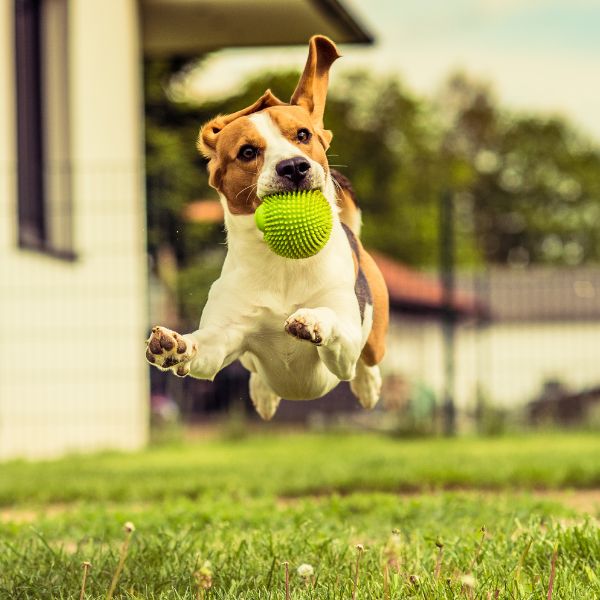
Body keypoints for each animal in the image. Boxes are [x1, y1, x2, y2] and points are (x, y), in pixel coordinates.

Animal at [145, 35, 390, 420]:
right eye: (247, 152)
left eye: (303, 135)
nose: (293, 166)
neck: (283, 262)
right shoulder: (224, 338)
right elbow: (202, 346)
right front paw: (175, 345)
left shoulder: (346, 344)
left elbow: (332, 321)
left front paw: (312, 320)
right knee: (255, 373)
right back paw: (264, 394)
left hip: (374, 337)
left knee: (368, 361)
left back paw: (367, 386)